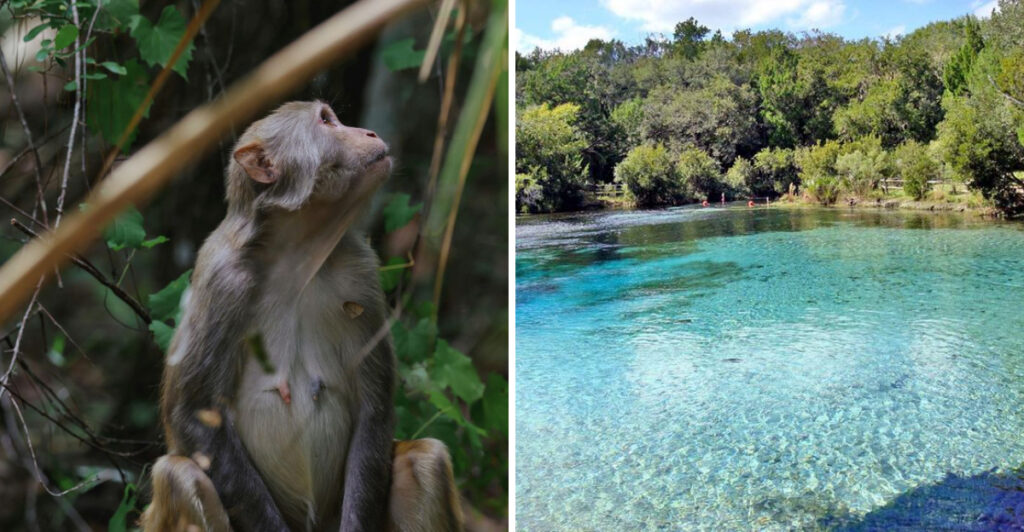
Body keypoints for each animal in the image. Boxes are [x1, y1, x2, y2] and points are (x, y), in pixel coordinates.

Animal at [140, 101, 464, 532]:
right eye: (326, 120)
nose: (369, 133)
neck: (295, 257)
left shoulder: (360, 272)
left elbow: (373, 409)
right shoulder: (221, 284)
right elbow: (194, 416)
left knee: (425, 458)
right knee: (181, 475)